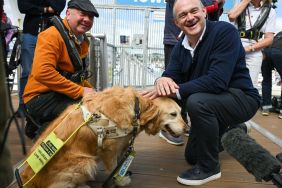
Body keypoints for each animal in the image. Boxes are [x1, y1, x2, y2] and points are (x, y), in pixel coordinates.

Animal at [19, 86, 185, 187]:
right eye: (173, 114)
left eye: (181, 112)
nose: (187, 128)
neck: (136, 108)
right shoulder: (109, 150)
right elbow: (113, 167)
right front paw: (121, 180)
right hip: (86, 162)